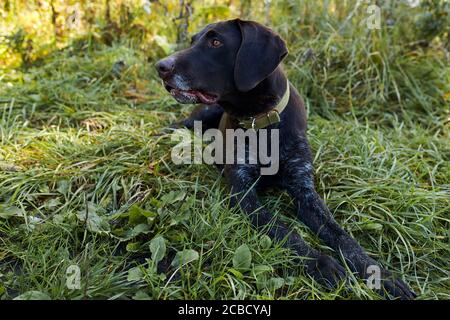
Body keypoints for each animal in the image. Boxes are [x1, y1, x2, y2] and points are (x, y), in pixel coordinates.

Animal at [156, 18, 414, 298]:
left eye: (215, 42)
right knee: (179, 124)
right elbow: (286, 232)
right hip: (201, 114)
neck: (262, 120)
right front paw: (323, 265)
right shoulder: (244, 195)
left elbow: (342, 236)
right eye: (193, 41)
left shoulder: (305, 191)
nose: (161, 67)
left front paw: (380, 274)